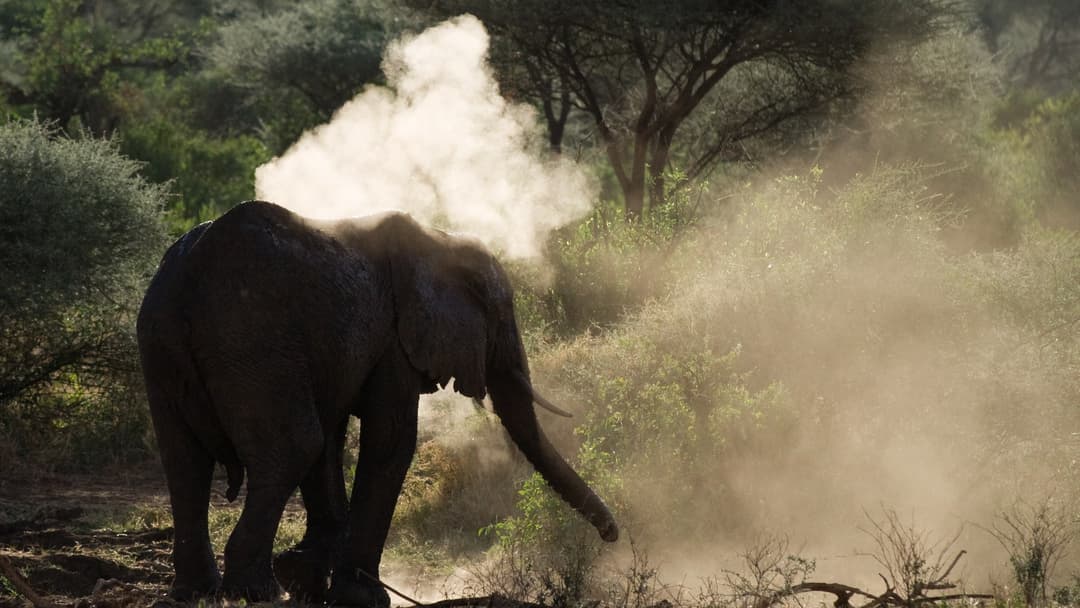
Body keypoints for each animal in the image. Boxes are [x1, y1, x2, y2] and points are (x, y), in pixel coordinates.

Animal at [136, 200, 618, 605]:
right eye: (500, 315)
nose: (612, 535)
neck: (439, 240)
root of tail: (188, 274)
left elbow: (333, 442)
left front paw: (308, 578)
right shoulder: (394, 337)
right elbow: (389, 441)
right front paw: (359, 596)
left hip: (162, 342)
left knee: (185, 462)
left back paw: (197, 593)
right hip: (250, 338)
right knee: (293, 447)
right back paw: (258, 592)